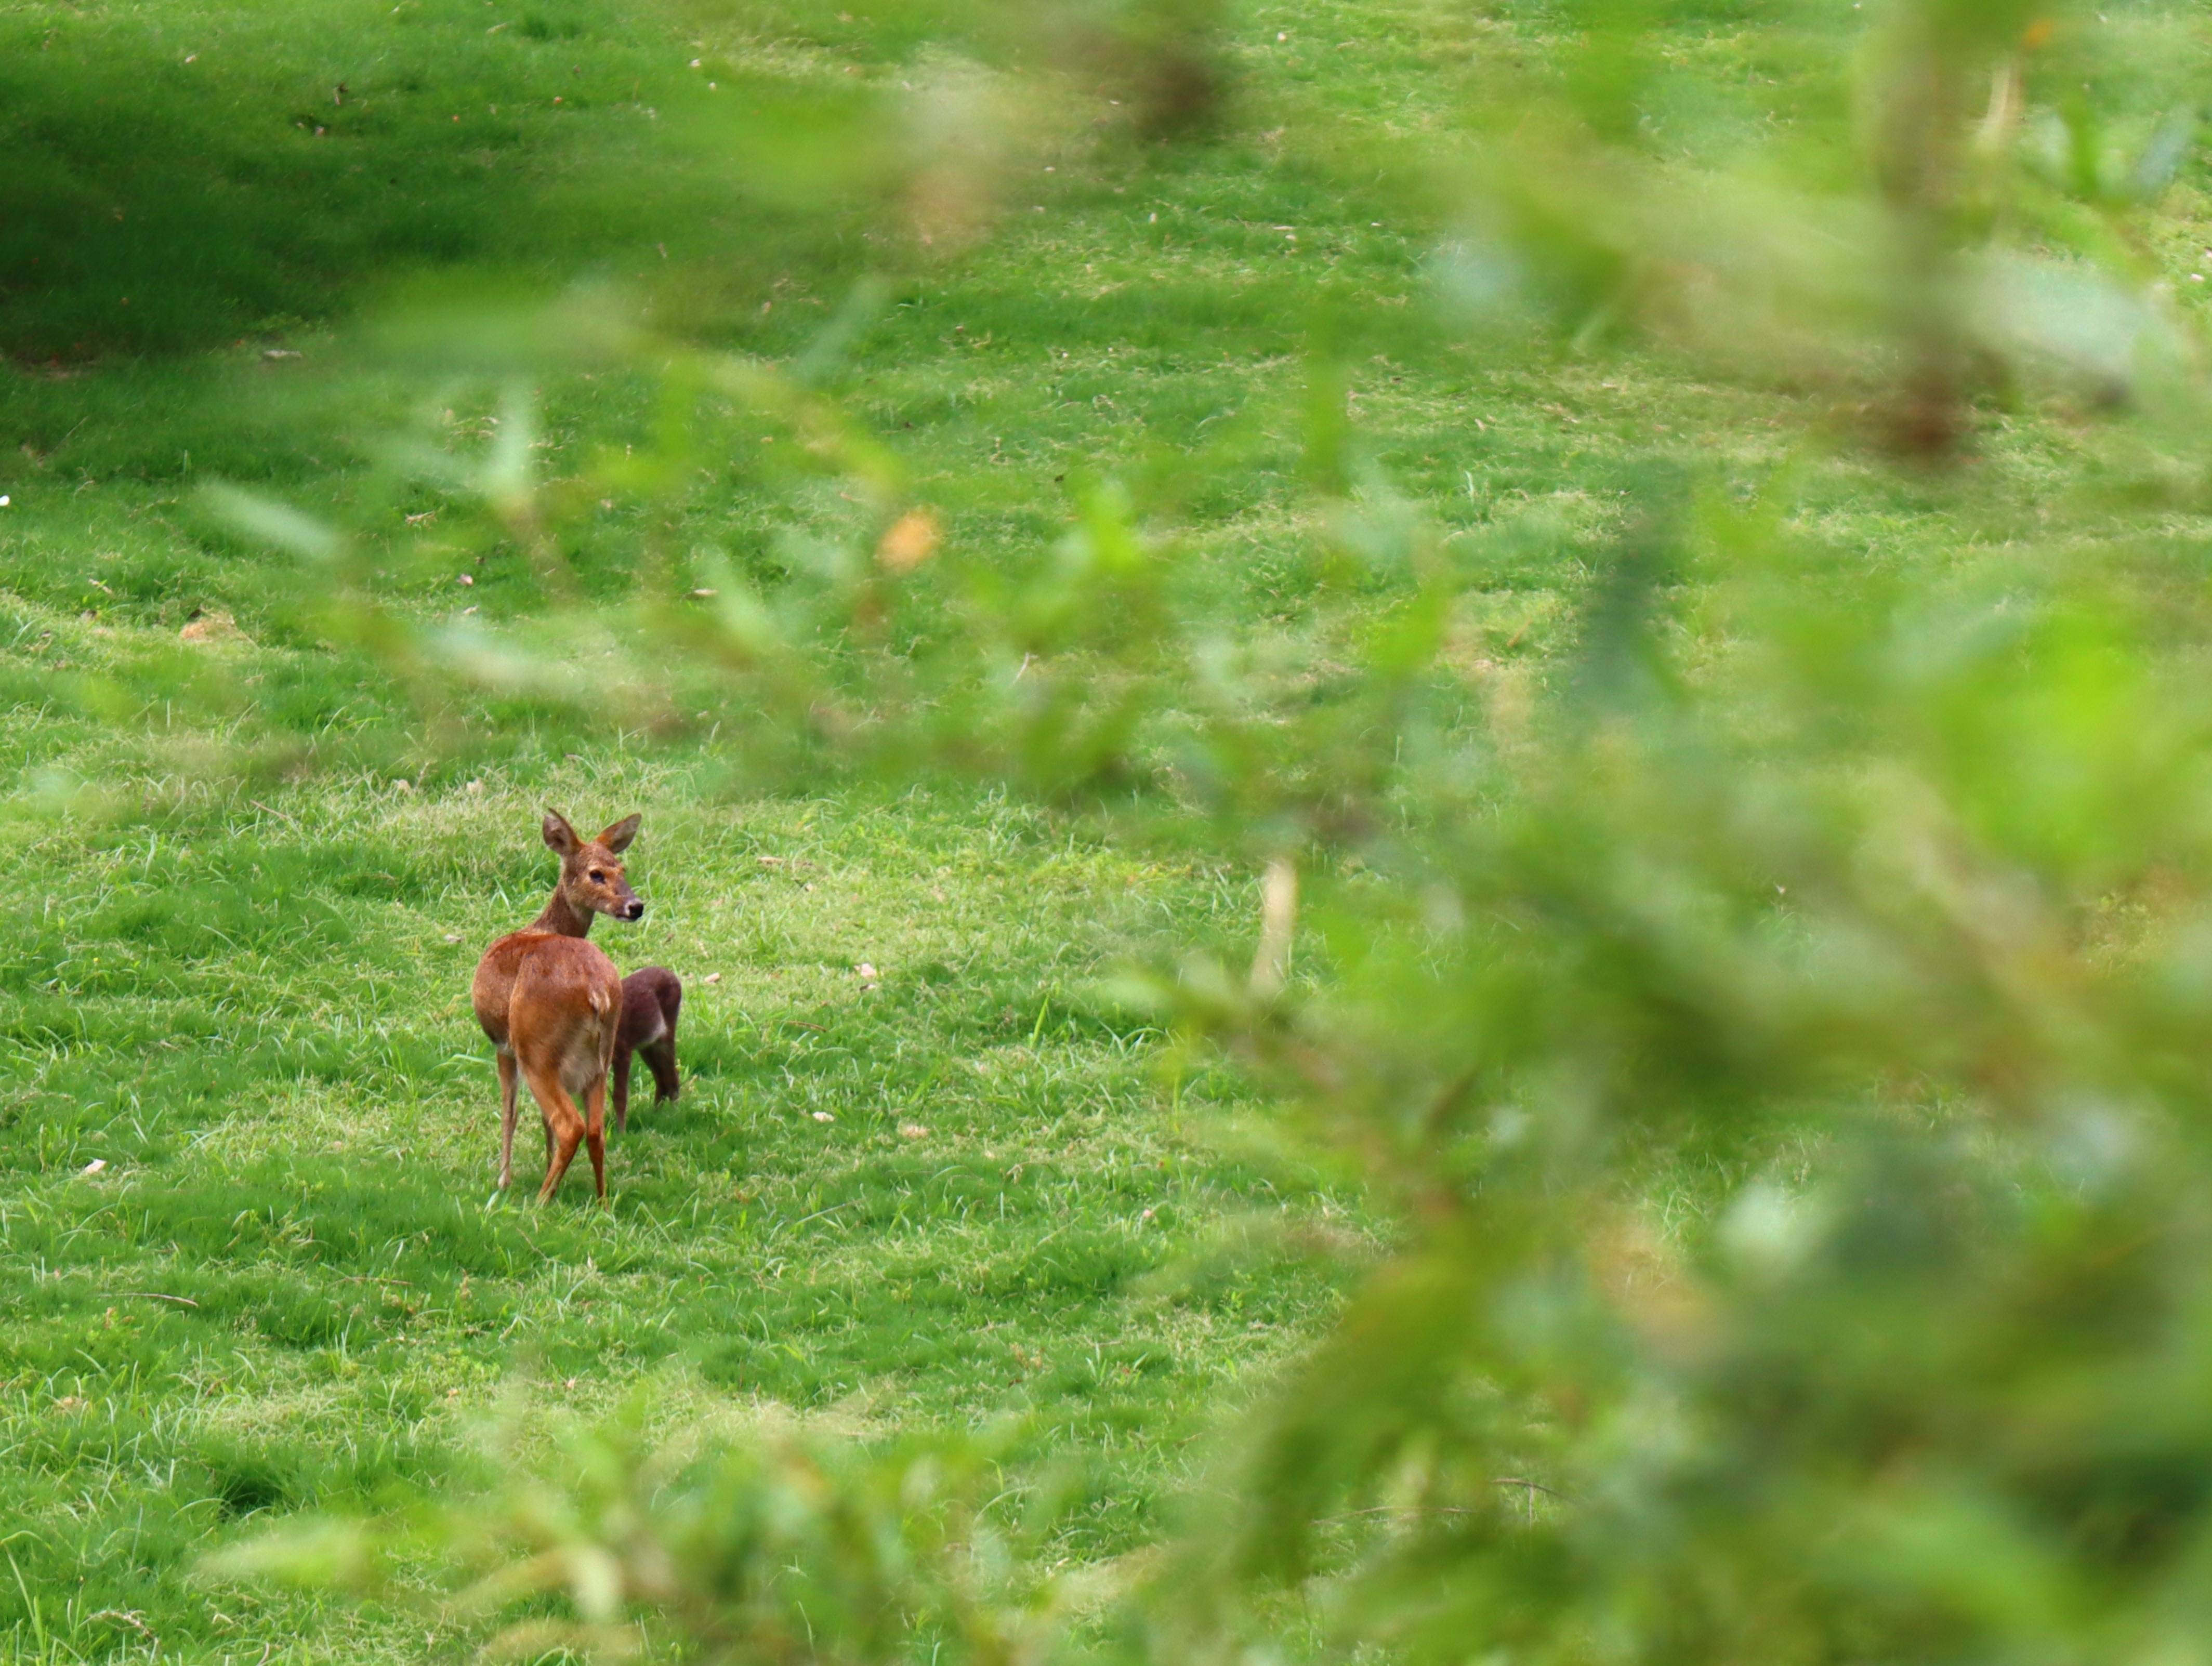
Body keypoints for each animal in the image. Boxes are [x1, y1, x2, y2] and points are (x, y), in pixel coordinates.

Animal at [467, 805, 641, 1195]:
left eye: (622, 869)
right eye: (597, 873)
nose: (636, 906)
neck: (541, 927)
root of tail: (597, 994)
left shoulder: (502, 1045)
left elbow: (510, 1109)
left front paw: (503, 1180)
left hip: (536, 1047)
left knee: (569, 1124)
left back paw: (542, 1198)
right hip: (601, 1056)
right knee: (595, 1129)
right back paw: (600, 1199)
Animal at [610, 960, 677, 1132]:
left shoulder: (623, 1050)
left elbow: (620, 1095)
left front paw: (622, 1132)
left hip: (665, 1035)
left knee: (672, 1075)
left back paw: (675, 1113)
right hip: (647, 1045)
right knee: (661, 1078)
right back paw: (656, 1113)